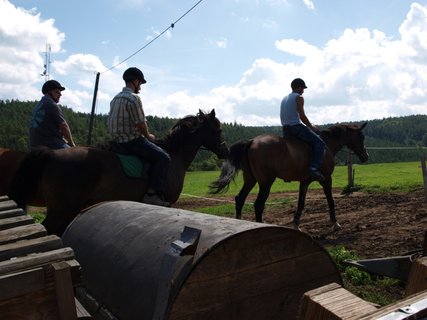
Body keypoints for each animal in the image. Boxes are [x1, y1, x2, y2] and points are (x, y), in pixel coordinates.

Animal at [10, 110, 229, 235]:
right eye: (218, 130)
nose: (225, 151)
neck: (174, 155)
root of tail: (52, 154)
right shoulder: (168, 202)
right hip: (61, 210)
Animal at [211, 122, 368, 230]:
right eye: (362, 136)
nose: (366, 156)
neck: (326, 145)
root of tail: (251, 141)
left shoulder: (304, 182)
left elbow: (301, 203)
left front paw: (296, 225)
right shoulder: (327, 179)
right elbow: (331, 200)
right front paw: (335, 223)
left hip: (251, 180)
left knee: (240, 199)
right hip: (266, 183)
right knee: (258, 204)